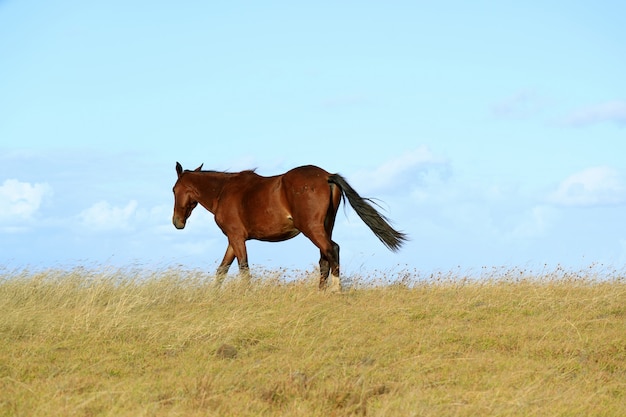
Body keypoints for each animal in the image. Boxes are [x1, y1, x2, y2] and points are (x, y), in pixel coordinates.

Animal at [172, 162, 404, 290]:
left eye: (174, 190)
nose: (177, 222)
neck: (223, 191)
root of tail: (327, 176)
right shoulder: (233, 240)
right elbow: (222, 270)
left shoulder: (236, 238)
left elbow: (243, 268)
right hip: (325, 226)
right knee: (324, 259)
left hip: (312, 229)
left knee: (332, 250)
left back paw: (336, 291)